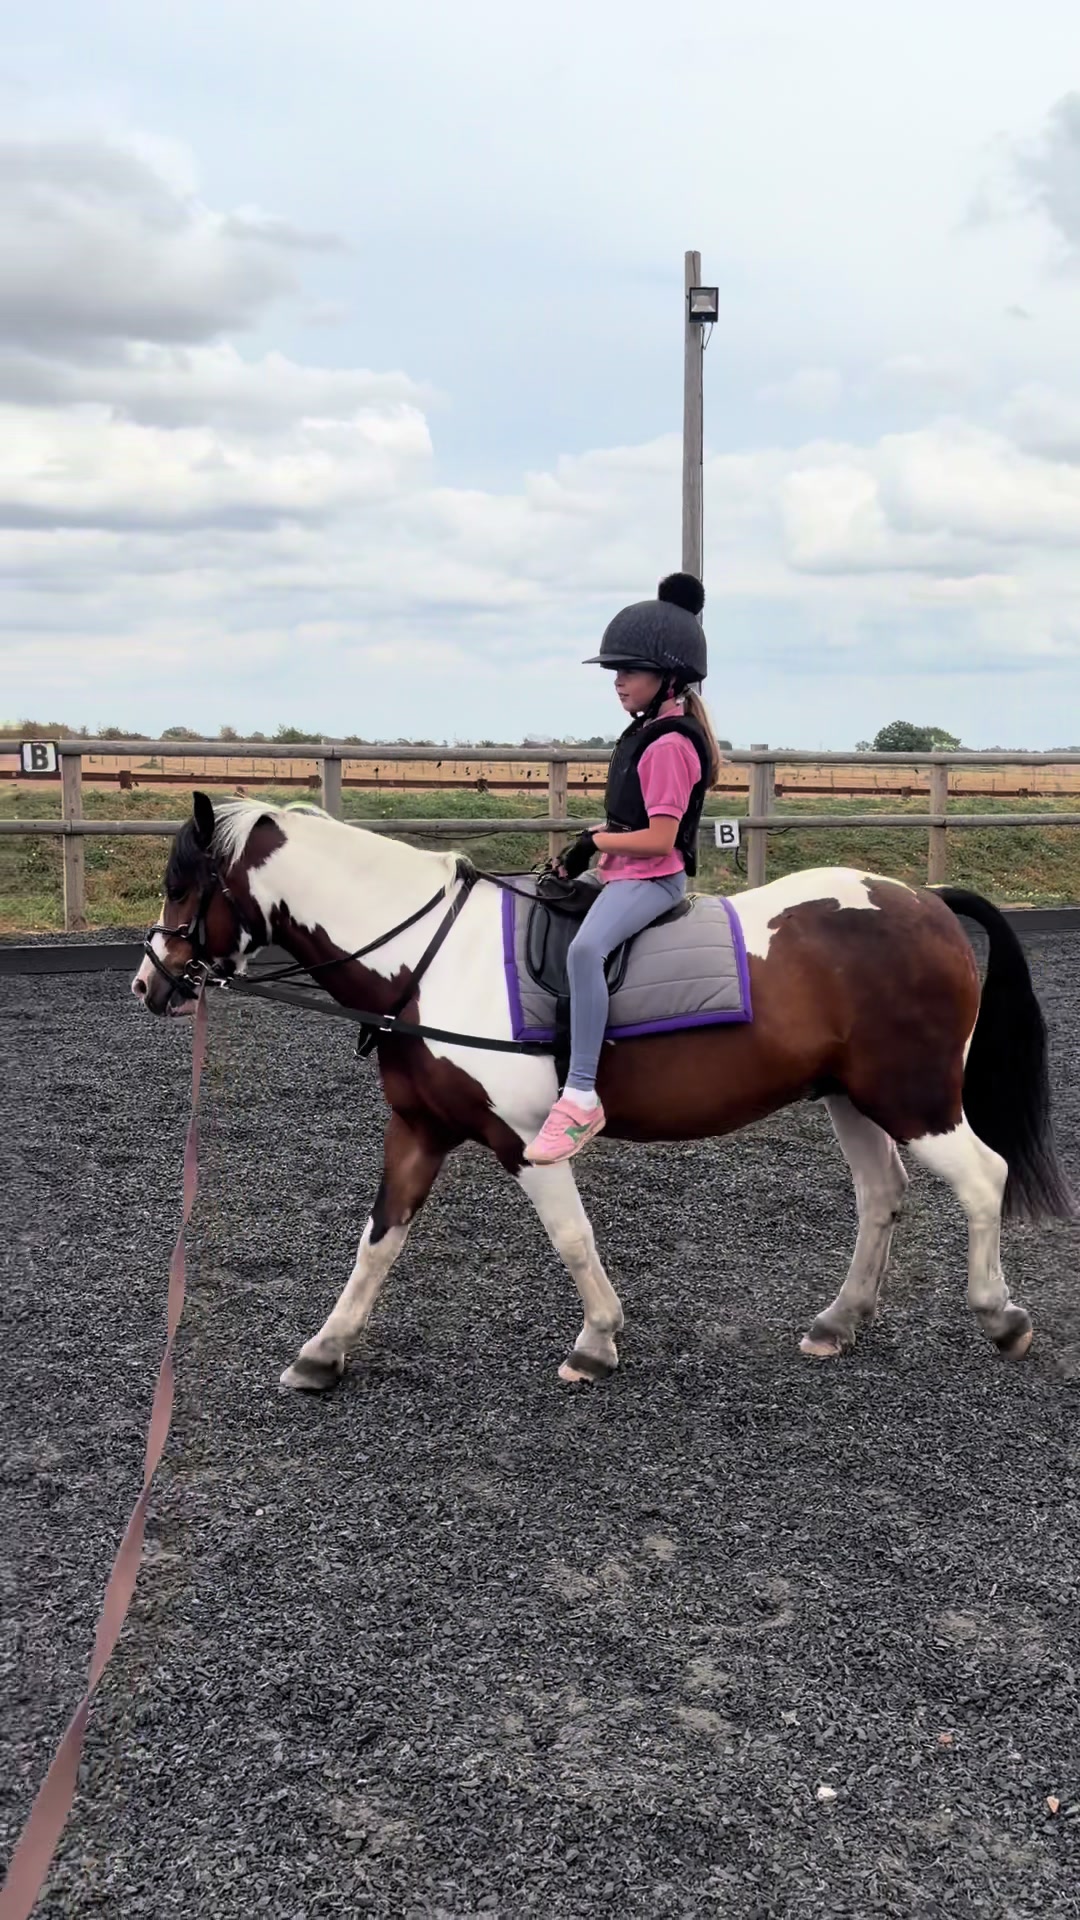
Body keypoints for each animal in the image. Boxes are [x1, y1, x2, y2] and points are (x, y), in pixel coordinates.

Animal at [132, 792, 1074, 1390]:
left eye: (184, 887)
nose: (150, 984)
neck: (428, 959)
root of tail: (925, 901)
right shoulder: (418, 1129)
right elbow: (377, 1243)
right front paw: (322, 1355)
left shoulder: (524, 1141)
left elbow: (572, 1238)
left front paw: (595, 1343)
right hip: (852, 1097)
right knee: (883, 1194)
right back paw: (839, 1322)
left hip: (913, 1097)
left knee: (983, 1178)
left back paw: (1001, 1316)